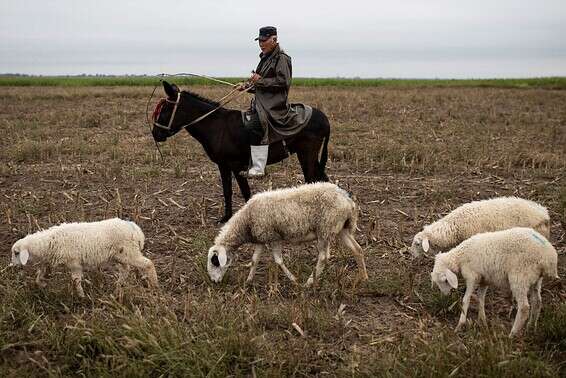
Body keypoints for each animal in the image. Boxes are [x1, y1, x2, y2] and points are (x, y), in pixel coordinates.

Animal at [9, 219, 160, 298]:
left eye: (16, 253)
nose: (12, 266)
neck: (47, 244)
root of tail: (135, 228)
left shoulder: (74, 263)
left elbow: (76, 280)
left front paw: (81, 296)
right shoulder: (48, 263)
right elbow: (40, 275)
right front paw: (42, 284)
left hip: (130, 252)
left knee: (148, 264)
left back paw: (154, 286)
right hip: (120, 256)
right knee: (125, 270)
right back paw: (117, 288)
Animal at [152, 79, 332, 221]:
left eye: (165, 109)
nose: (155, 134)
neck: (217, 126)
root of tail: (324, 118)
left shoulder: (236, 165)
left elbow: (245, 192)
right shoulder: (223, 165)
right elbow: (227, 191)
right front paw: (226, 217)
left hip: (307, 154)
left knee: (312, 181)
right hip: (308, 155)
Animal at [206, 183, 370, 286]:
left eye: (215, 262)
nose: (214, 282)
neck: (246, 222)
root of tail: (348, 200)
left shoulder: (273, 237)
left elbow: (278, 261)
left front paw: (293, 280)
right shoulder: (262, 238)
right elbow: (254, 260)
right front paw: (248, 281)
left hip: (325, 229)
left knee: (323, 257)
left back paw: (309, 283)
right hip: (342, 228)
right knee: (357, 249)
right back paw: (363, 277)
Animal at [432, 226, 560, 338]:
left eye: (444, 280)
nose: (445, 295)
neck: (460, 257)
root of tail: (549, 257)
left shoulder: (472, 276)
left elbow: (466, 300)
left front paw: (460, 324)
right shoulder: (484, 279)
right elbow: (480, 297)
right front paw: (482, 320)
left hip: (520, 277)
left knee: (524, 307)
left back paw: (512, 334)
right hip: (536, 279)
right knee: (537, 302)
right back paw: (531, 327)